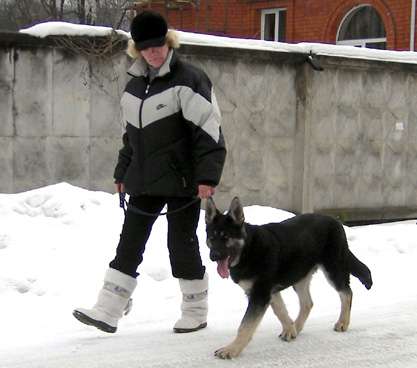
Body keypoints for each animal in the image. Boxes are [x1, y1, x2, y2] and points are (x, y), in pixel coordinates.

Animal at [205, 197, 370, 358]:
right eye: (212, 238)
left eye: (226, 237)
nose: (213, 256)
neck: (248, 248)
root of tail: (335, 221)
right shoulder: (266, 292)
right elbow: (280, 310)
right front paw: (290, 330)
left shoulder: (260, 294)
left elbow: (245, 325)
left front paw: (231, 350)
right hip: (300, 276)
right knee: (308, 303)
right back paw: (297, 326)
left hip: (333, 269)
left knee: (346, 293)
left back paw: (342, 322)